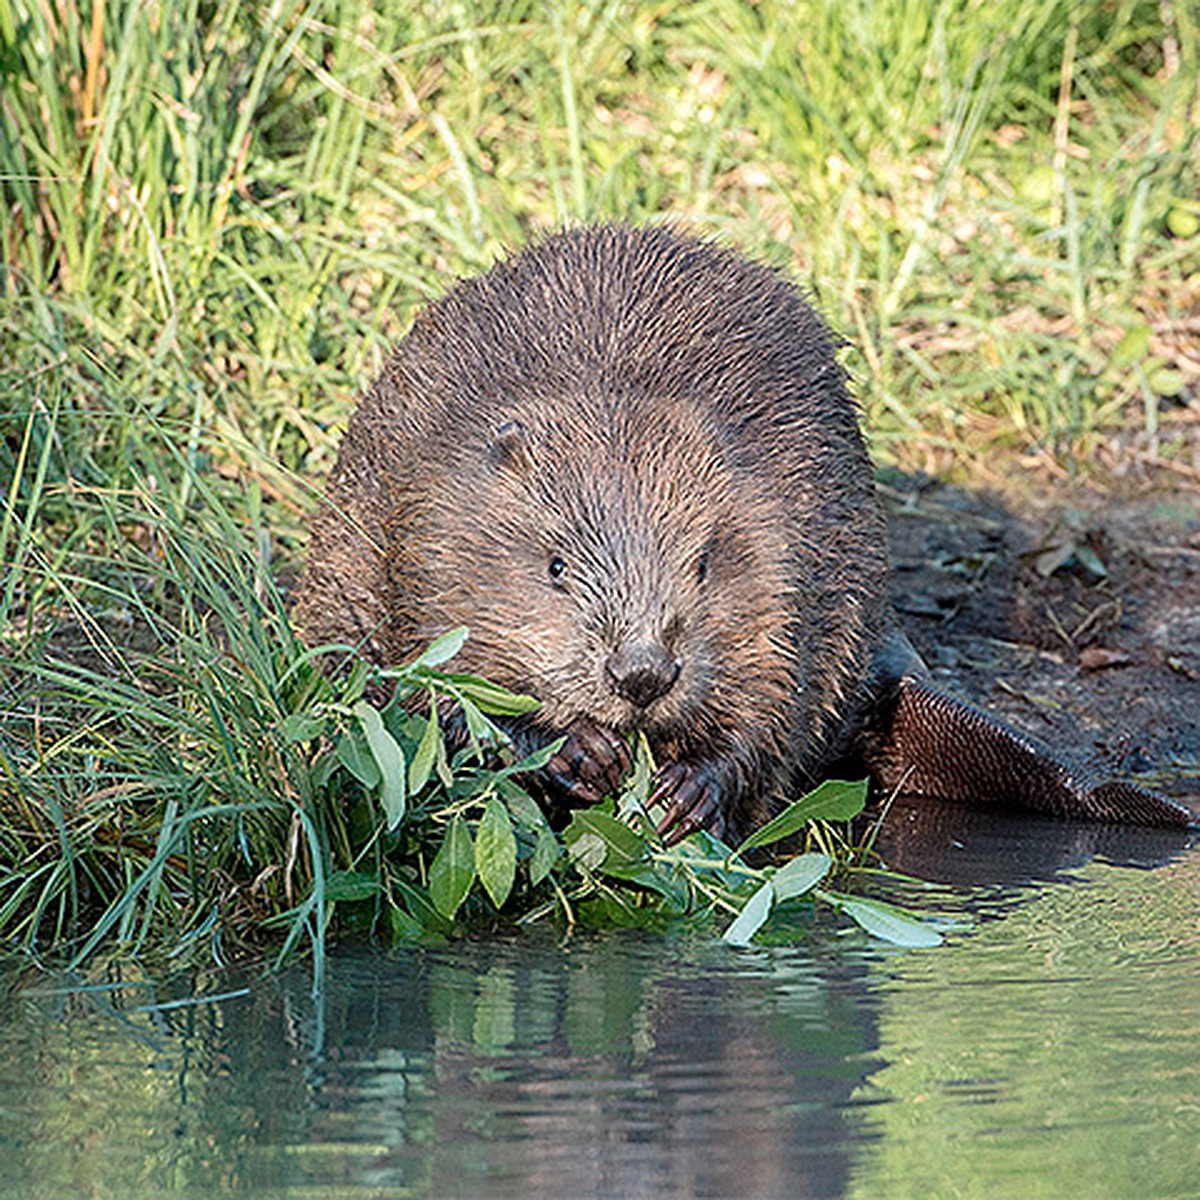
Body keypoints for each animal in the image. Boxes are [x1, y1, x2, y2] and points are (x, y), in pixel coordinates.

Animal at [295, 225, 1195, 844]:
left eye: (700, 564)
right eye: (553, 566)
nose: (642, 674)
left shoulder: (791, 544)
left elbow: (778, 694)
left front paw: (686, 794)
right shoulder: (423, 532)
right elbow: (431, 686)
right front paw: (580, 754)